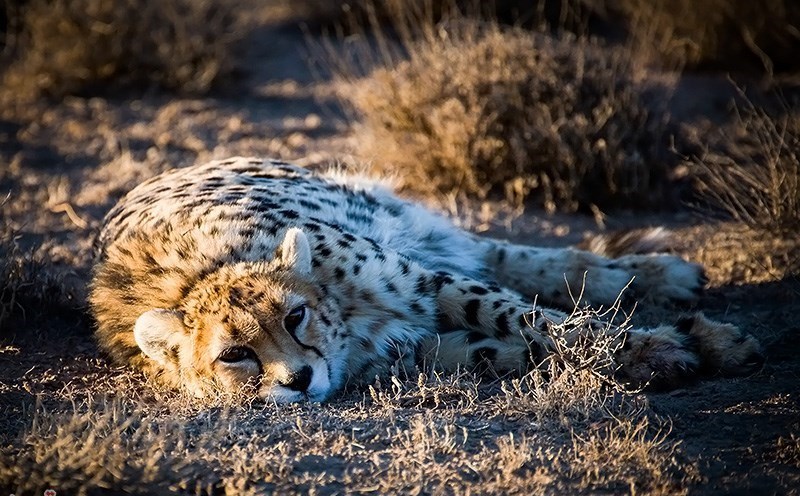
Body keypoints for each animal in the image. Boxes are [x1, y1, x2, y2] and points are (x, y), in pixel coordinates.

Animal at [90, 158, 764, 404]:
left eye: (294, 316)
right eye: (235, 355)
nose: (300, 379)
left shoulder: (420, 281)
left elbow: (531, 318)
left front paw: (654, 344)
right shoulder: (413, 349)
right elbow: (503, 349)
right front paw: (665, 350)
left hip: (406, 230)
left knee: (507, 258)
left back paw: (660, 273)